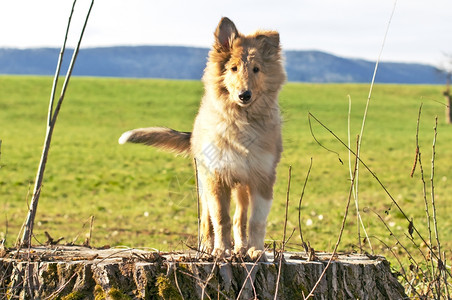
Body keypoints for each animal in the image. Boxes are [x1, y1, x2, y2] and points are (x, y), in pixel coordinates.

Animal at [118, 17, 284, 260]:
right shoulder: (216, 177)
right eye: (233, 68)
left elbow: (256, 221)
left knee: (240, 217)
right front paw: (221, 250)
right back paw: (207, 247)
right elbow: (221, 219)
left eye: (256, 69)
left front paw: (256, 251)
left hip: (241, 186)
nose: (244, 95)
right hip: (203, 182)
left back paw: (241, 248)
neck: (240, 121)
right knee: (207, 219)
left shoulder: (262, 177)